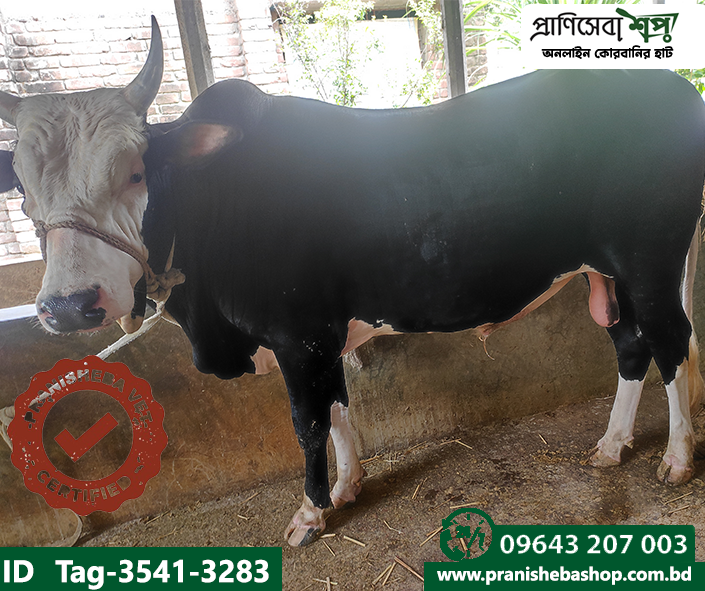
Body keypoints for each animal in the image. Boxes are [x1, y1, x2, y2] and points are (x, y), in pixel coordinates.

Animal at [1, 18, 704, 546]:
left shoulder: (297, 334)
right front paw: (346, 484)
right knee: (632, 347)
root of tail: (670, 83)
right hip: (608, 274)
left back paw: (675, 458)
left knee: (672, 345)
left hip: (650, 263)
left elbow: (308, 420)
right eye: (25, 188)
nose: (70, 305)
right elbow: (338, 407)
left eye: (135, 171)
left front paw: (310, 512)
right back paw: (611, 445)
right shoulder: (322, 334)